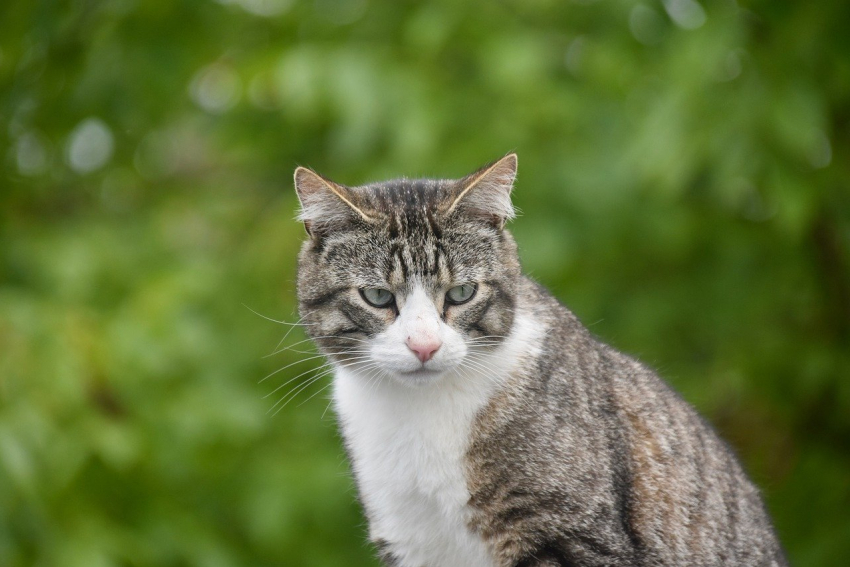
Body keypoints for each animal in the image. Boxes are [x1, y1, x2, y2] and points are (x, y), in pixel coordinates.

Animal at [294, 154, 788, 567]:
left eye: (461, 293)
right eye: (378, 297)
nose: (424, 346)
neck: (420, 413)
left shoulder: (569, 534)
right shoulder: (409, 537)